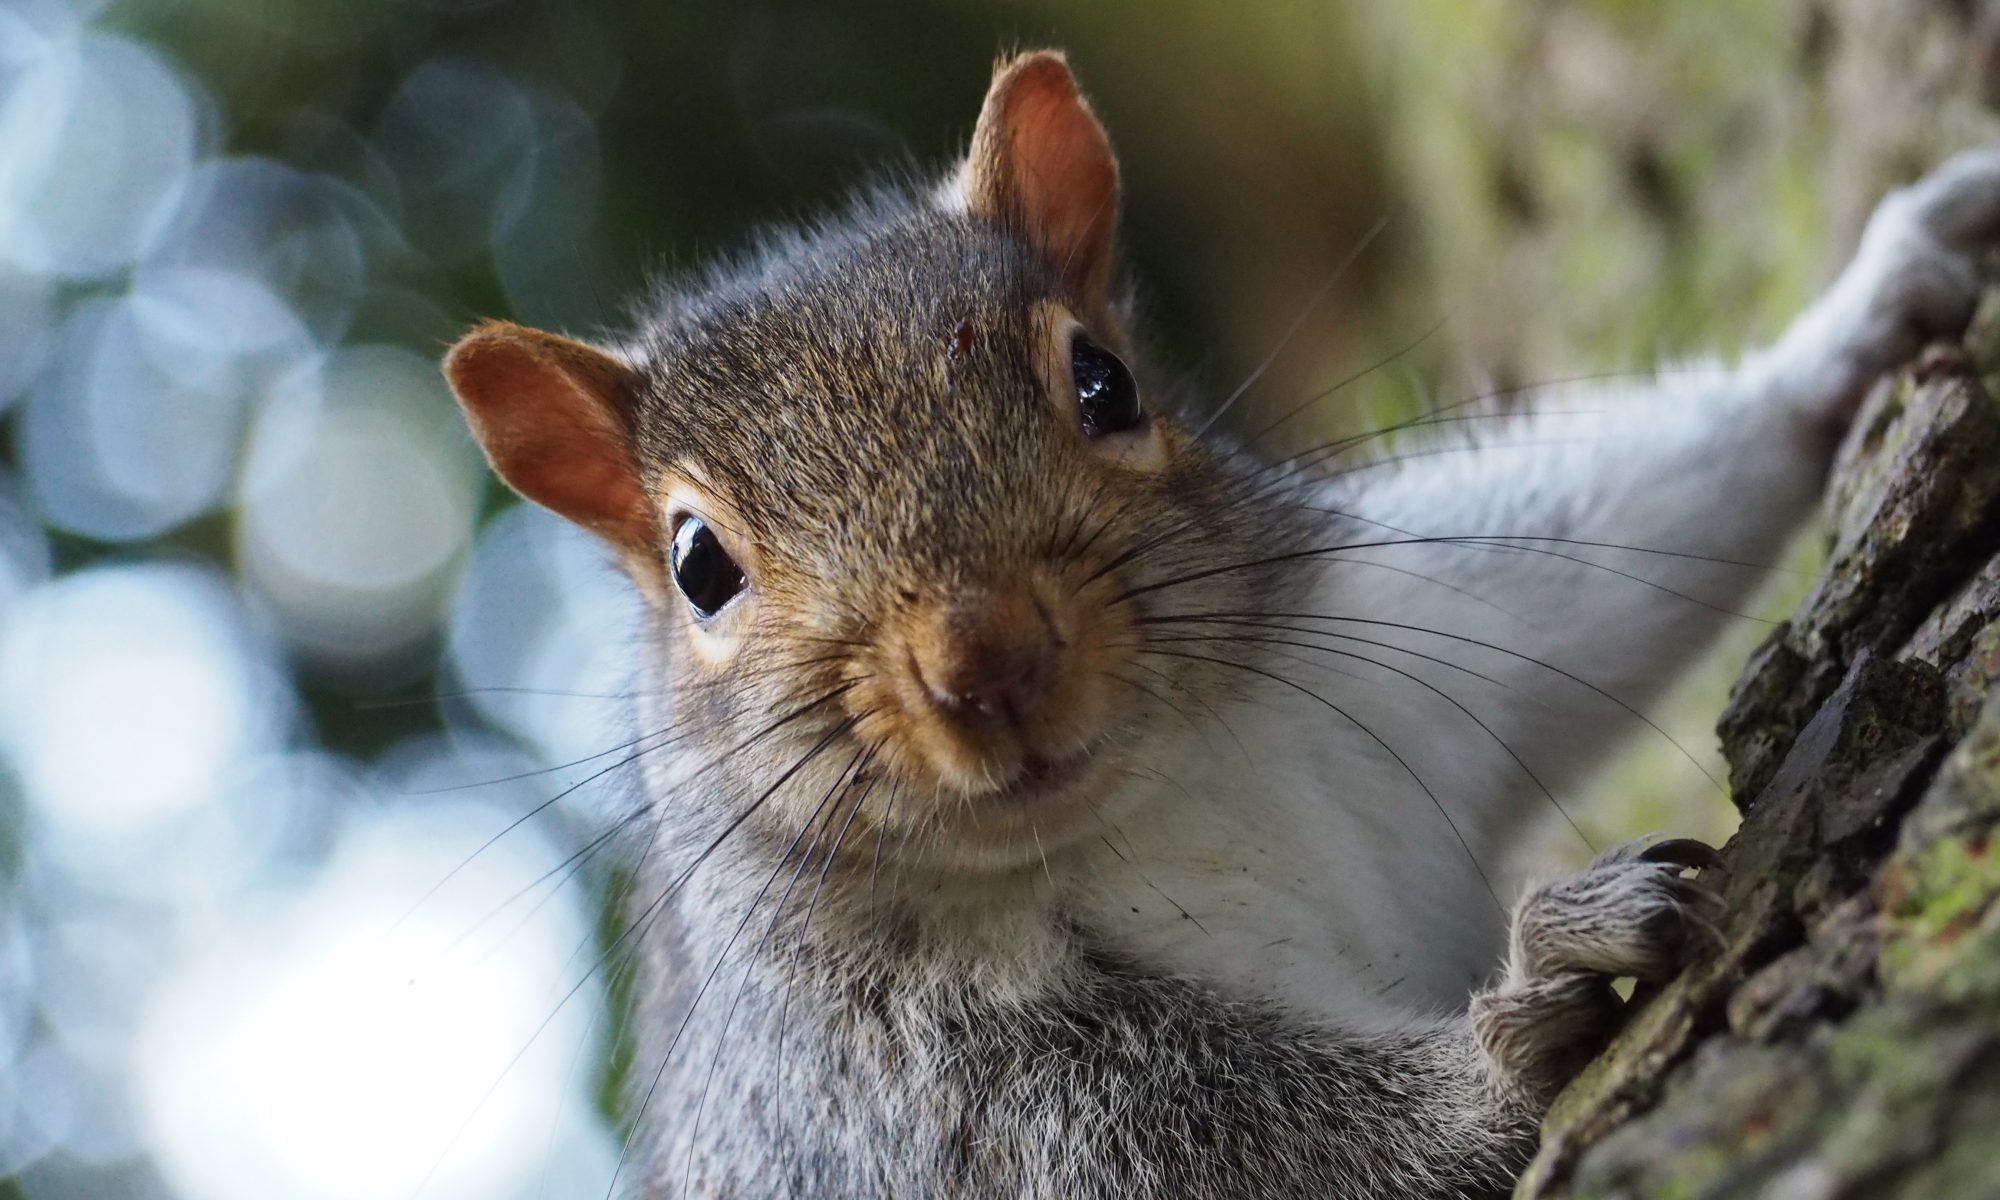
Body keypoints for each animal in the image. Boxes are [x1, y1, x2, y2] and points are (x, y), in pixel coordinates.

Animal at [441, 50, 2000, 1200]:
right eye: (698, 567)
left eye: (1104, 382)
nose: (987, 659)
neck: (1157, 798)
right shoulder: (884, 1093)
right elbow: (1202, 1149)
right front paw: (1522, 1026)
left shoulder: (1406, 634)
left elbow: (1619, 542)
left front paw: (1862, 315)